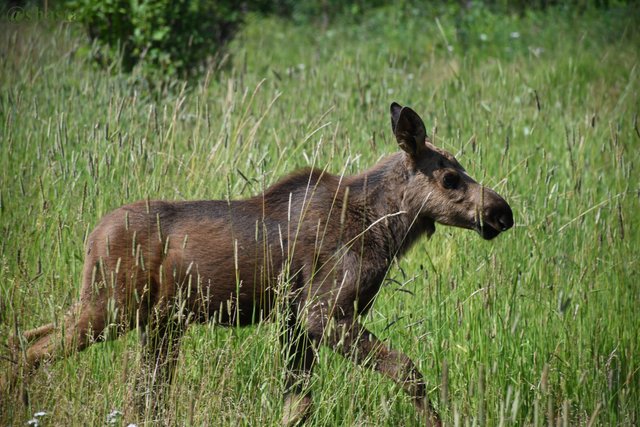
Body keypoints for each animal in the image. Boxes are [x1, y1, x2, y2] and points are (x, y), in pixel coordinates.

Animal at [2, 103, 516, 424]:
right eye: (449, 178)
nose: (501, 212)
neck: (385, 227)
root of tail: (91, 234)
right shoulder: (323, 313)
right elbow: (409, 371)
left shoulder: (294, 320)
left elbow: (298, 404)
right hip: (112, 308)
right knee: (35, 349)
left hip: (152, 320)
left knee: (46, 346)